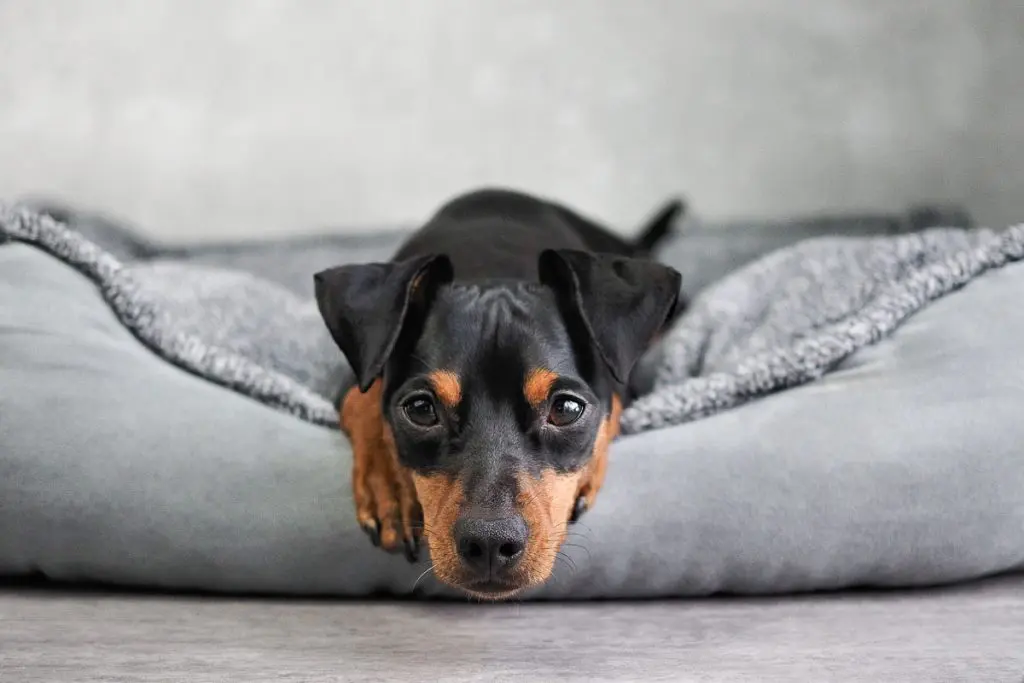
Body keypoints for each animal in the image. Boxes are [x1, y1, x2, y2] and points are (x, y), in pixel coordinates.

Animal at [315, 187, 684, 598]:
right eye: (421, 409)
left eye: (566, 409)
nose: (490, 543)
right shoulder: (350, 379)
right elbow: (363, 400)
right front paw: (391, 488)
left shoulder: (627, 387)